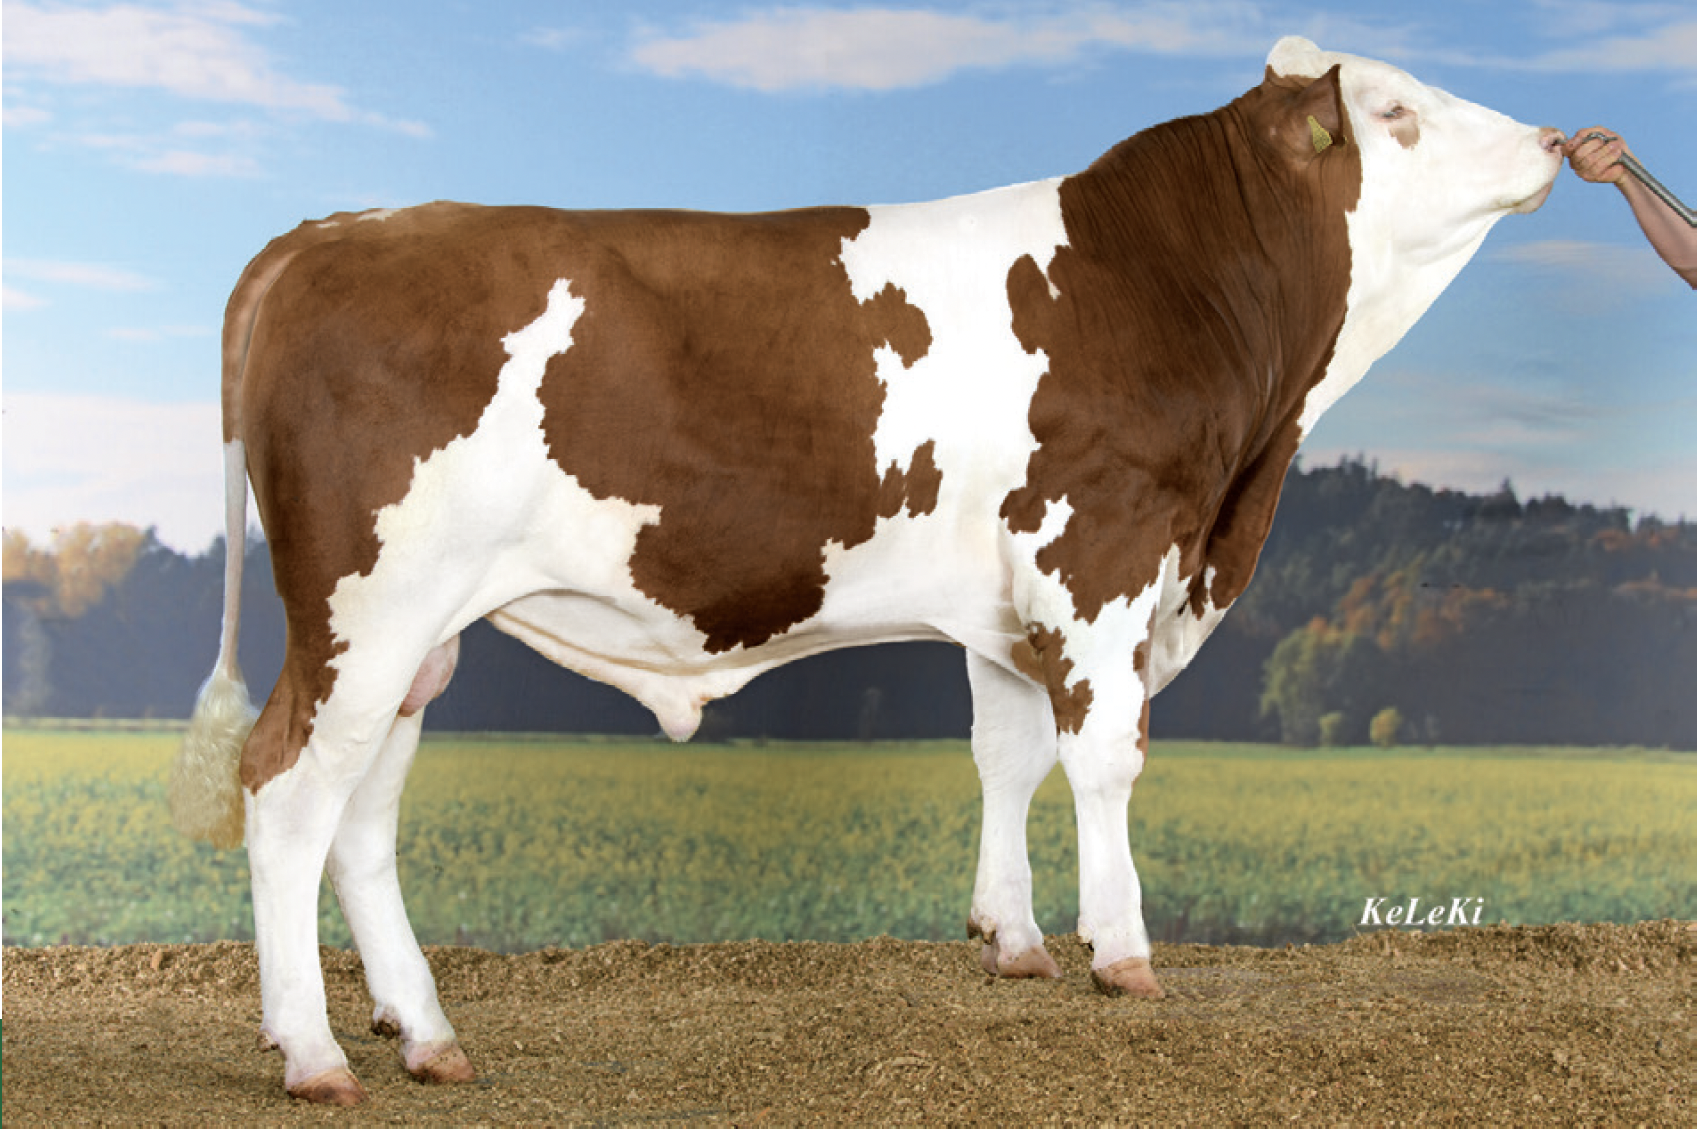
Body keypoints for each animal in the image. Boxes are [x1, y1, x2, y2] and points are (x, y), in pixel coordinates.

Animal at [169, 36, 1564, 1105]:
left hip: (416, 637)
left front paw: (1011, 938)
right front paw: (1120, 952)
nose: (1556, 137)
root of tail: (330, 230)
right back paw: (313, 1054)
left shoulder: (1012, 597)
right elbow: (1105, 757)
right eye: (1396, 112)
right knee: (286, 793)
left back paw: (425, 1035)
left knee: (362, 818)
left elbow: (1006, 753)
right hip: (366, 609)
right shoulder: (1101, 551)